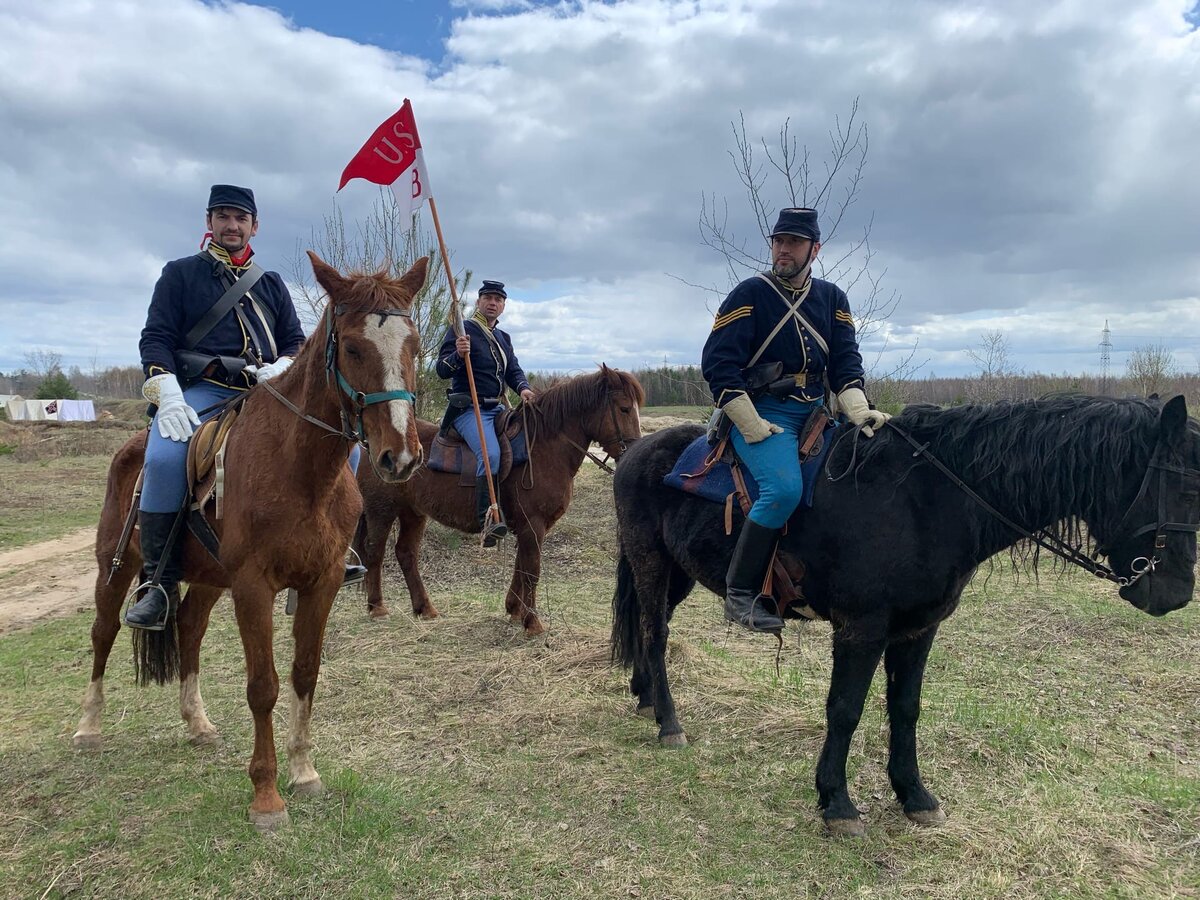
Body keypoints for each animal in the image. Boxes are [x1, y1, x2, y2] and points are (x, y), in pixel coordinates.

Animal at [71, 252, 427, 830]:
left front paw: (304, 773)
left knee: (188, 627)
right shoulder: (254, 588)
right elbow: (263, 686)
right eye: (353, 347)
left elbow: (305, 673)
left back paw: (197, 723)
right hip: (116, 566)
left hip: (209, 579)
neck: (299, 470)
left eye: (414, 345)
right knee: (103, 633)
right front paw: (266, 795)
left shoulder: (322, 583)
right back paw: (88, 727)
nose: (401, 456)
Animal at [352, 364, 643, 633]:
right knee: (374, 551)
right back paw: (377, 607)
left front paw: (514, 609)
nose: (633, 453)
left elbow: (521, 566)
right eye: (624, 409)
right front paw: (532, 622)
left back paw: (425, 608)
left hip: (413, 513)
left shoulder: (530, 527)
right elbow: (532, 569)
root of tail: (371, 446)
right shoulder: (533, 524)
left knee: (406, 553)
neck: (543, 449)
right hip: (381, 511)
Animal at [614, 393, 1195, 840]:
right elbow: (845, 710)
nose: (1177, 594)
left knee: (646, 632)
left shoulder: (918, 629)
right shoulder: (861, 630)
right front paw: (837, 802)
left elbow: (906, 708)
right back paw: (668, 722)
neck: (926, 500)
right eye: (1183, 488)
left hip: (678, 574)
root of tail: (637, 450)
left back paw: (646, 699)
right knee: (655, 634)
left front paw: (914, 794)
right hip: (651, 563)